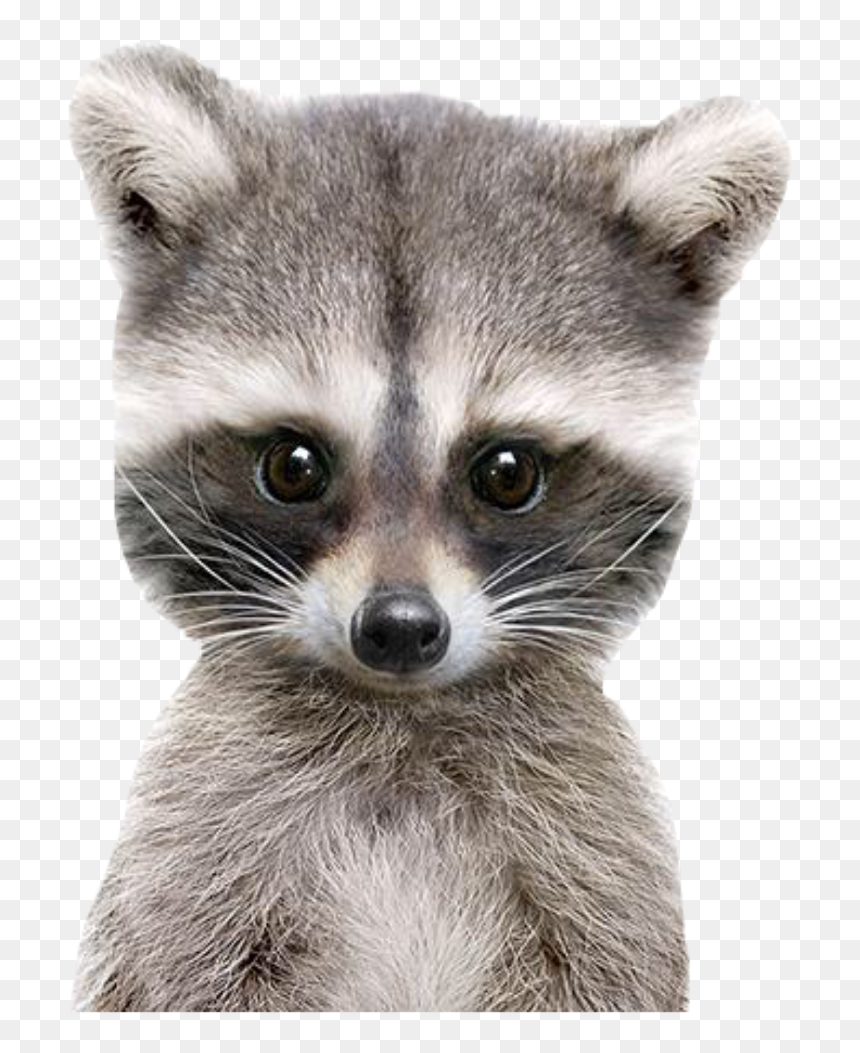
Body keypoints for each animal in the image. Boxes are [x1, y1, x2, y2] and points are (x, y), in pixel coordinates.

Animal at [70, 46, 788, 1012]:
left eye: (507, 472)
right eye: (292, 466)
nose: (400, 629)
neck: (403, 721)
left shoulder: (595, 849)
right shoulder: (198, 844)